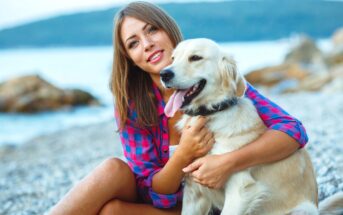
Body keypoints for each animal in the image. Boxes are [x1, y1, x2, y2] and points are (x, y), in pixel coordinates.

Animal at [161, 38, 336, 215]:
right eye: (173, 59)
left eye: (195, 57)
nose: (164, 74)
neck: (211, 114)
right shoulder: (193, 193)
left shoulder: (239, 190)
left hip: (302, 210)